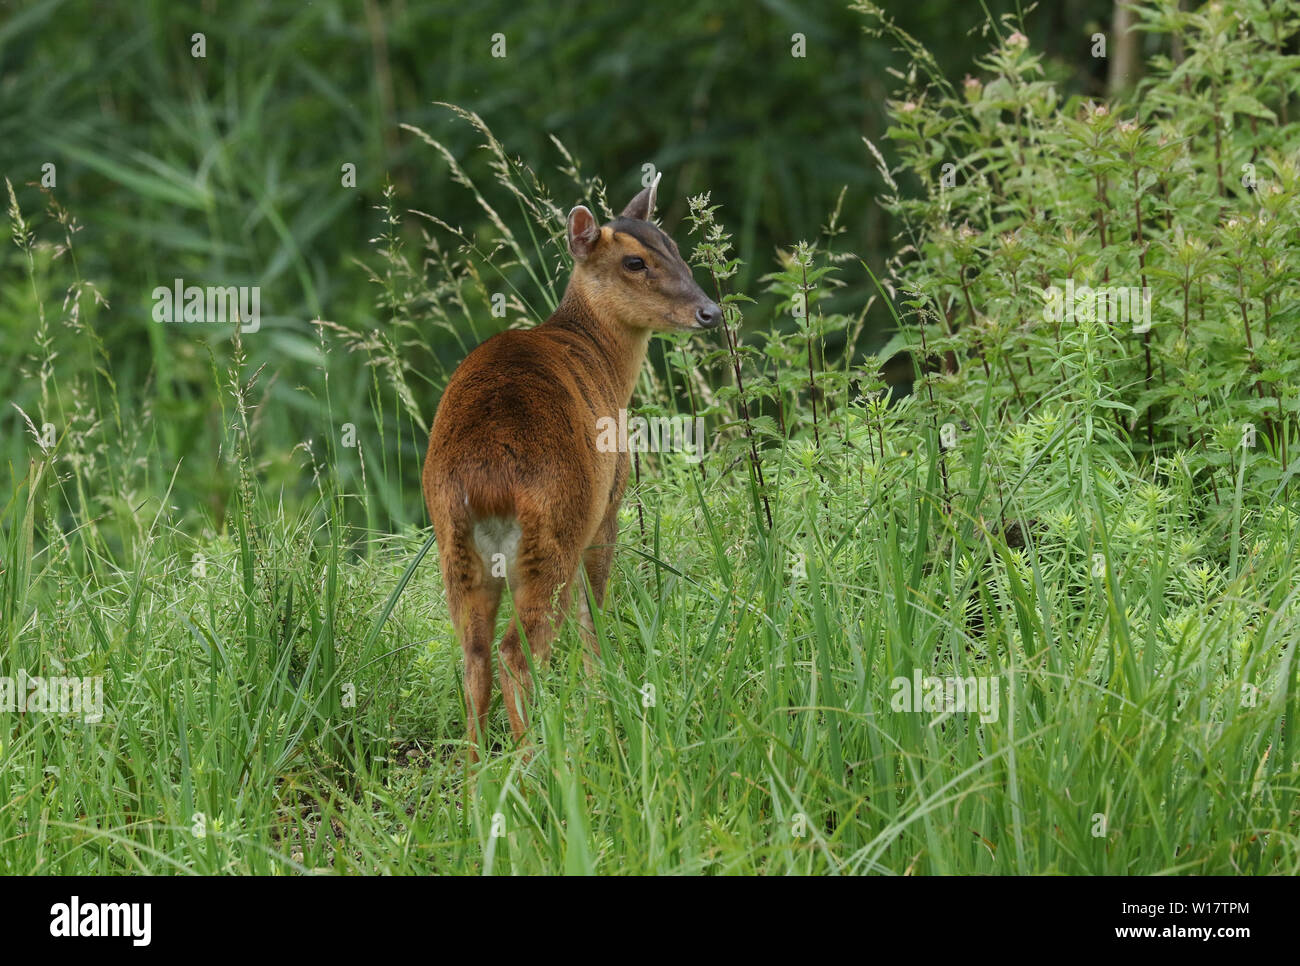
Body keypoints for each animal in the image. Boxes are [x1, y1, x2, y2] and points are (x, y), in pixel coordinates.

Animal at [421, 178, 722, 759]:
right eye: (635, 261)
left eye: (674, 245)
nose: (710, 312)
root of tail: (487, 482)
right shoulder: (609, 502)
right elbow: (594, 611)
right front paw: (601, 692)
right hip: (553, 534)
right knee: (516, 652)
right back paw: (536, 761)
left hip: (456, 550)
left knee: (474, 658)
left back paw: (477, 775)